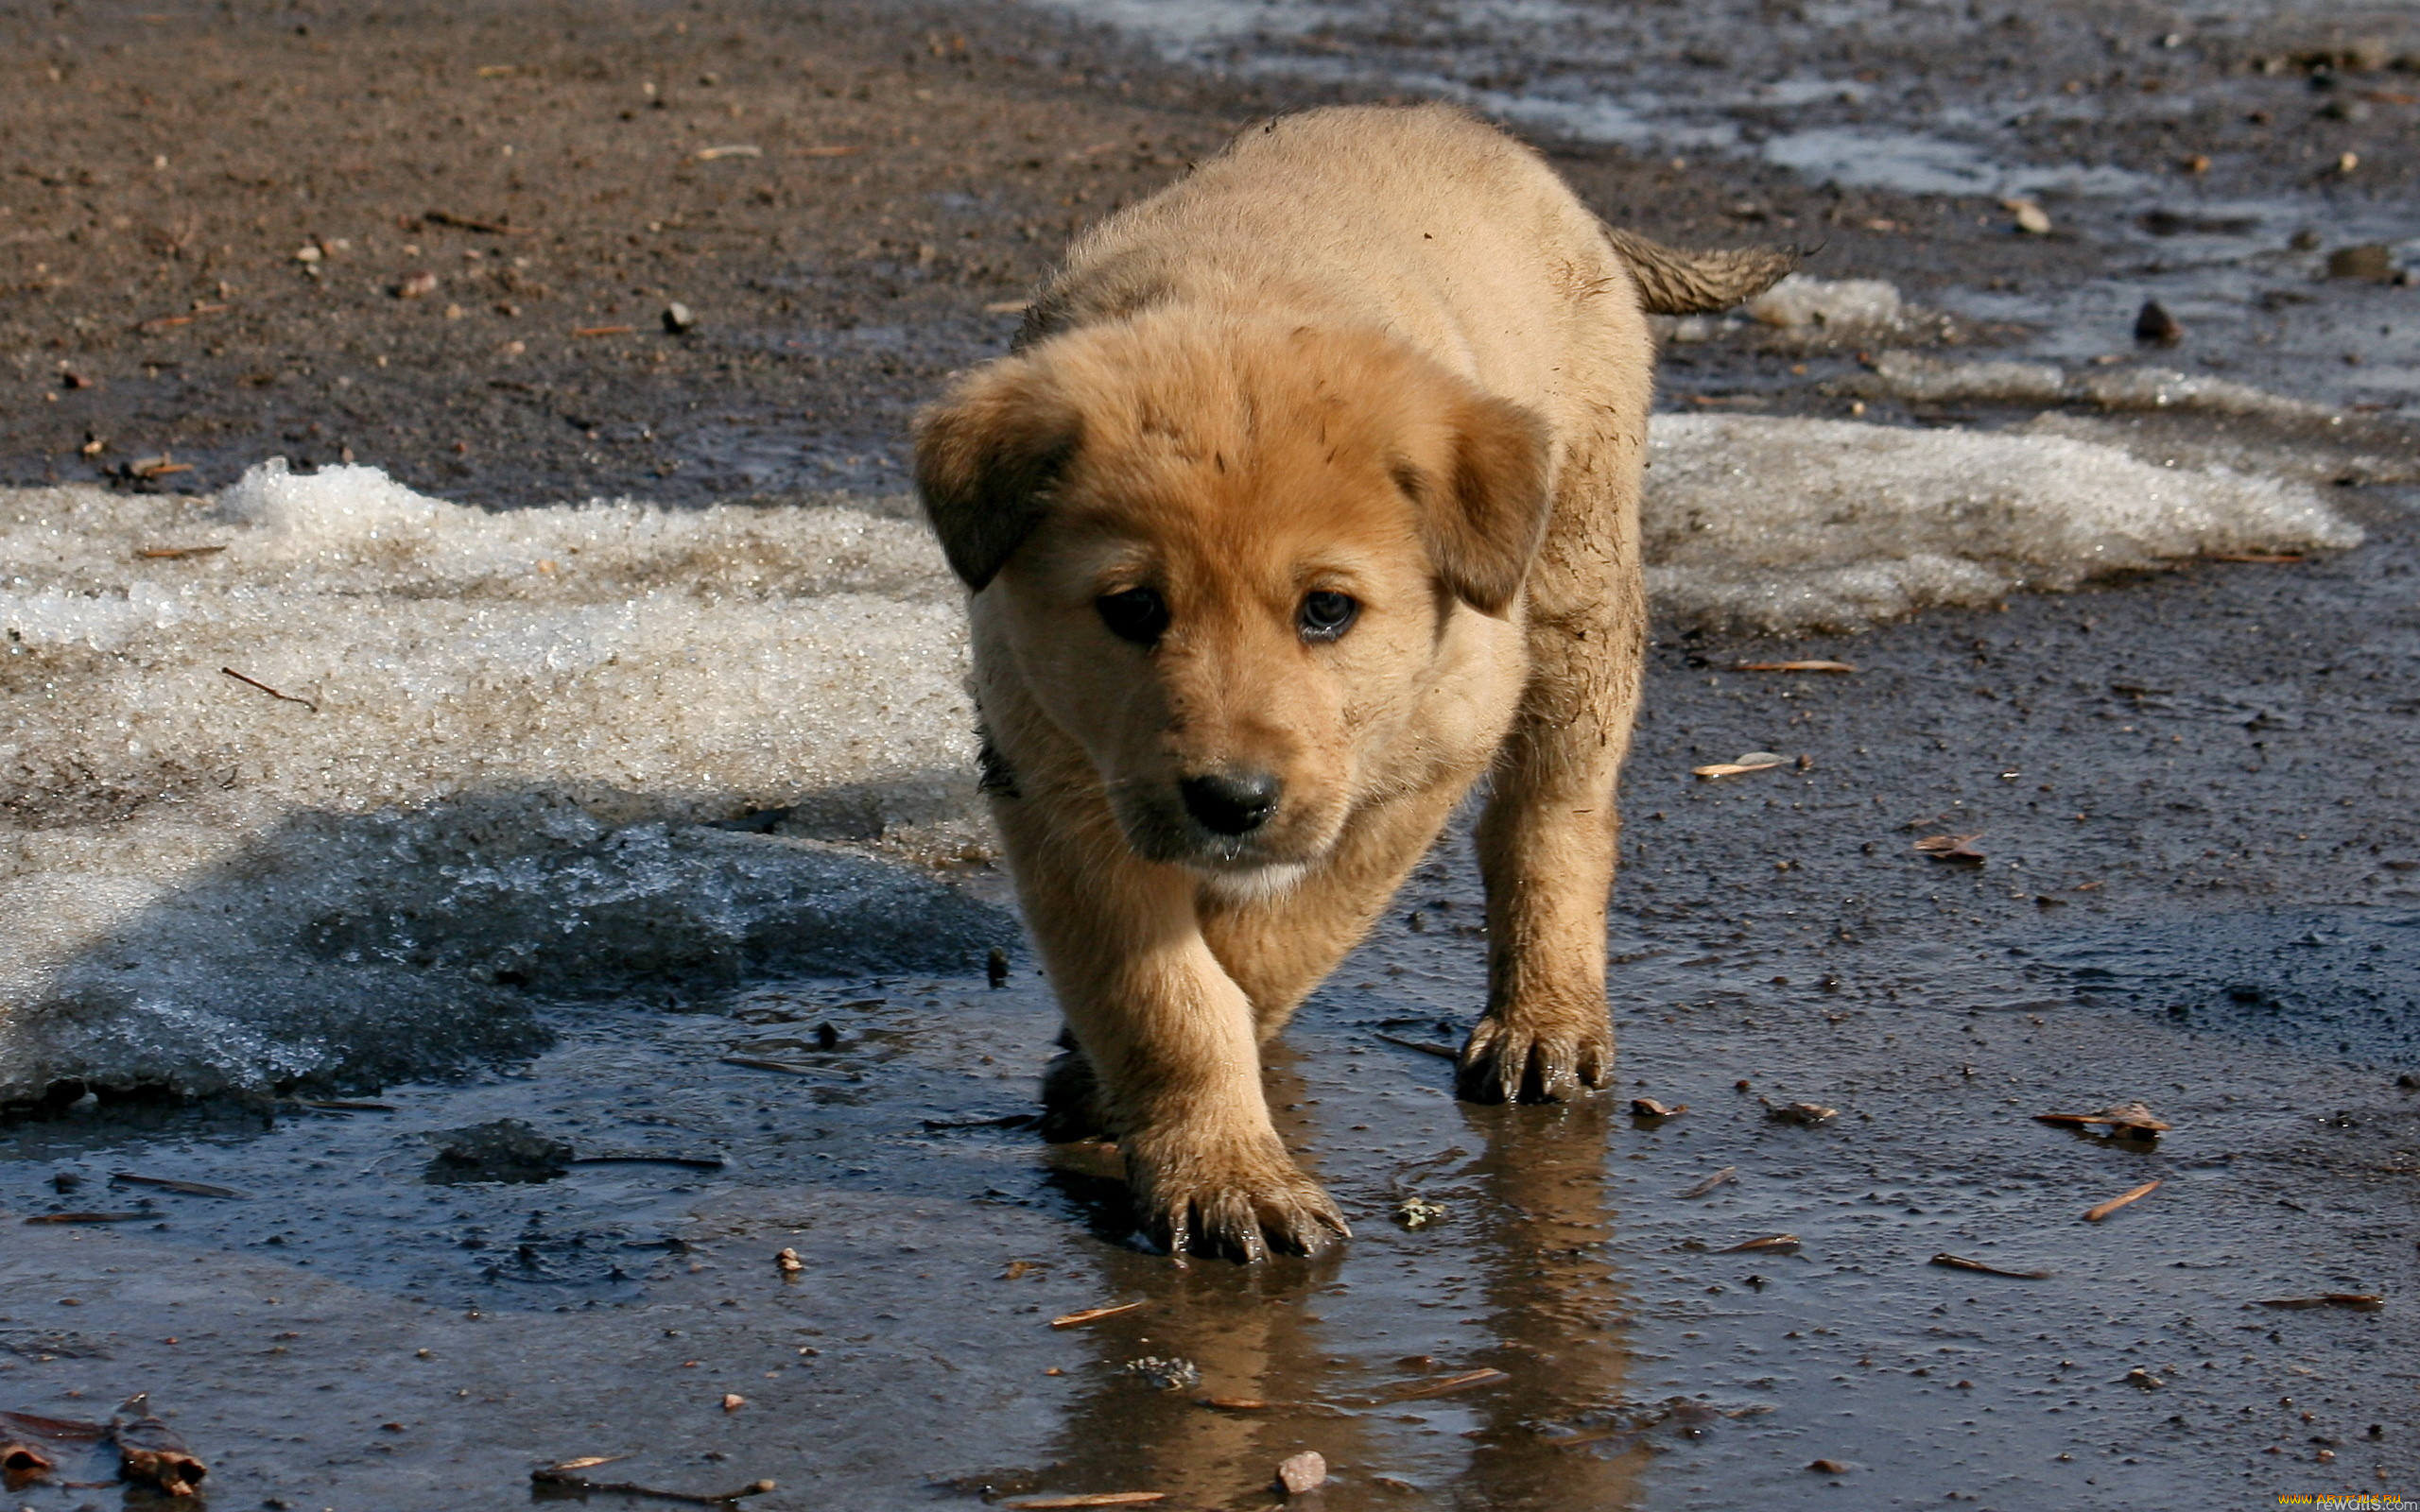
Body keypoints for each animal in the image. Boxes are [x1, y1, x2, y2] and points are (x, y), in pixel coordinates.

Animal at [914, 100, 1790, 1258]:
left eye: (1326, 610)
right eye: (1133, 609)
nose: (1231, 801)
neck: (1239, 301)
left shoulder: (1420, 763)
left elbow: (1273, 945)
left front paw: (1166, 1119)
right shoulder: (1050, 771)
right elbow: (1163, 993)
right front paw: (1220, 1169)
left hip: (1579, 592)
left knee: (1554, 818)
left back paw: (1545, 1020)